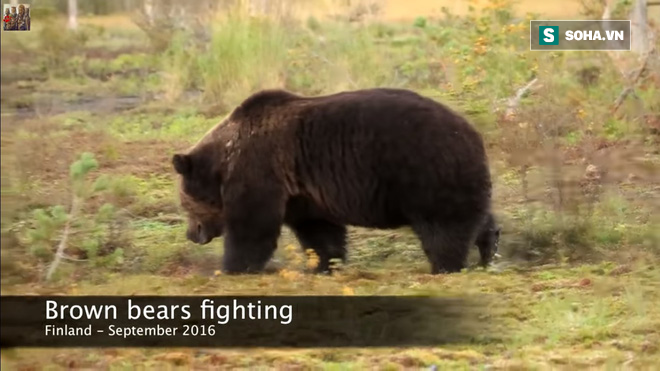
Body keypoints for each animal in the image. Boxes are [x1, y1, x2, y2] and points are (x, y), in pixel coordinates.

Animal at [173, 86, 498, 274]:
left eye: (185, 204)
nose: (192, 234)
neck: (225, 159)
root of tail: (472, 132)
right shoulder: (303, 193)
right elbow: (319, 231)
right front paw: (322, 264)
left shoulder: (259, 170)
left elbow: (252, 226)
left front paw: (231, 267)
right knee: (478, 217)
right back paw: (488, 252)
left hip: (425, 170)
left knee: (442, 227)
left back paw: (445, 265)